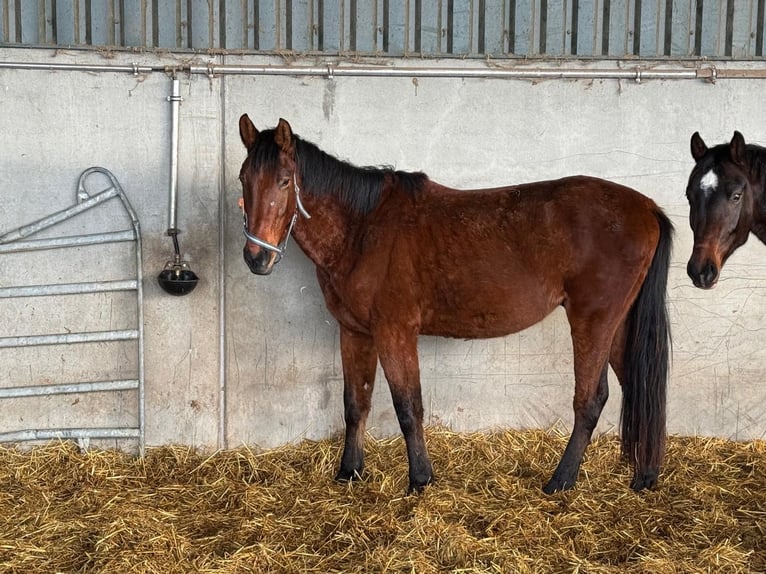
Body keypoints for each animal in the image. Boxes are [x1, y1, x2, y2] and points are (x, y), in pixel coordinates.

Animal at [237, 114, 673, 494]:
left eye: (285, 180)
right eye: (243, 179)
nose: (256, 258)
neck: (362, 229)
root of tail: (646, 208)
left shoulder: (395, 331)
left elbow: (408, 407)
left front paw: (420, 480)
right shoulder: (355, 332)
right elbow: (355, 402)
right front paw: (349, 472)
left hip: (593, 320)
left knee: (590, 399)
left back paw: (561, 481)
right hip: (619, 324)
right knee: (636, 387)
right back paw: (644, 476)